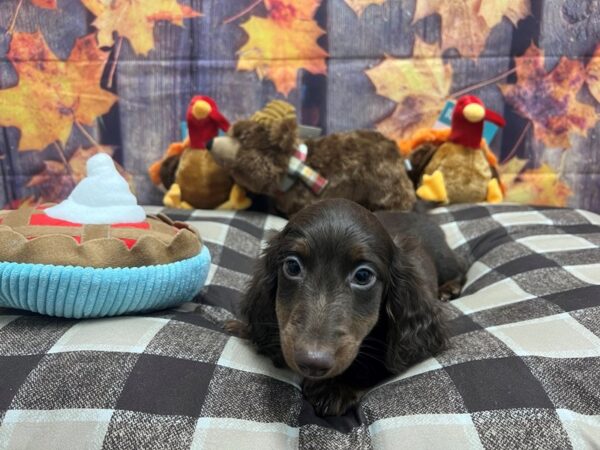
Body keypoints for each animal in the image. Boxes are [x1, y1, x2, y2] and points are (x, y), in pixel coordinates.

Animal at [225, 199, 464, 416]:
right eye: (292, 266)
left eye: (363, 276)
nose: (312, 362)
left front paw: (336, 387)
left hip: (445, 261)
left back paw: (450, 288)